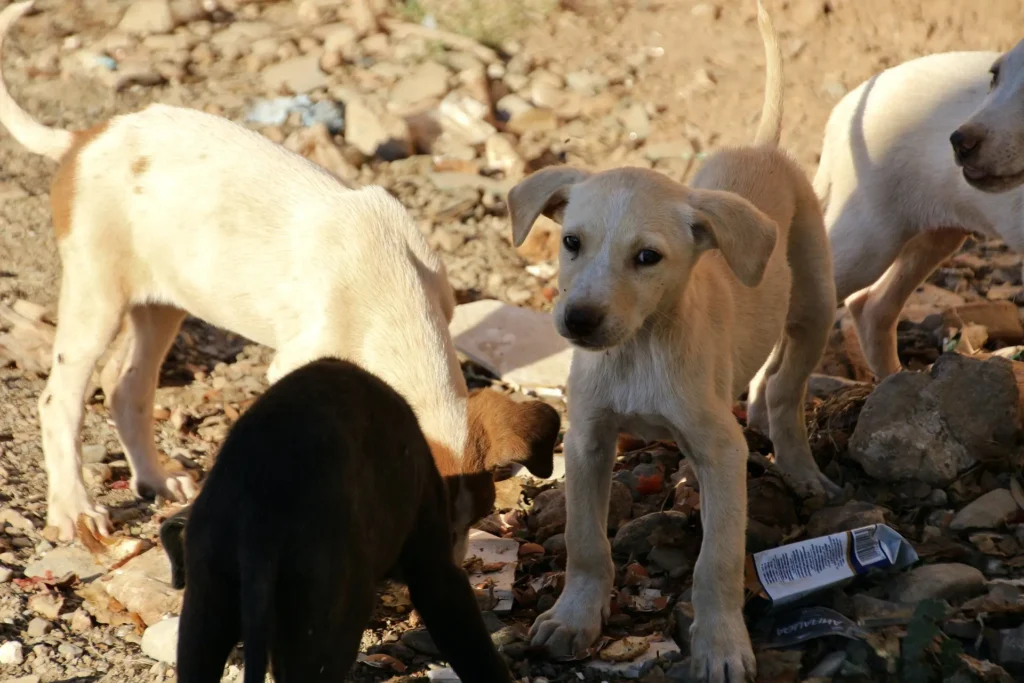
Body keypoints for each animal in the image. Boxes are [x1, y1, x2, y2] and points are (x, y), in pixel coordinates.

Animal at [0, 1, 561, 548]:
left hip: (163, 301)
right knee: (59, 401)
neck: (392, 300)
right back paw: (73, 509)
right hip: (96, 294)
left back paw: (156, 480)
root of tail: (83, 139)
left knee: (126, 385)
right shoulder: (296, 363)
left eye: (473, 520)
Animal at [501, 3, 831, 679]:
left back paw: (801, 468)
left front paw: (722, 644)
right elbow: (585, 542)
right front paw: (574, 617)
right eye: (570, 242)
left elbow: (718, 561)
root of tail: (760, 148)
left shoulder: (722, 448)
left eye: (647, 258)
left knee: (787, 391)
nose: (579, 320)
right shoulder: (588, 439)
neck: (638, 349)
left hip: (816, 303)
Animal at [811, 41, 1019, 378]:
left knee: (871, 306)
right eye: (994, 78)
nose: (960, 142)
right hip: (866, 239)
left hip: (932, 235)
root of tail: (843, 110)